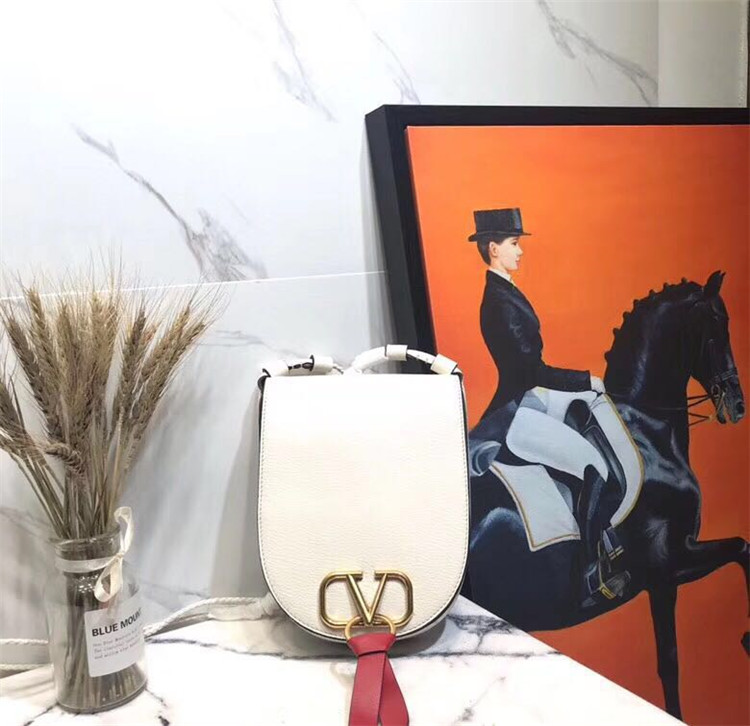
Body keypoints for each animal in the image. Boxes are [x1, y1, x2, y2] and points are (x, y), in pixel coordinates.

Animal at [462, 271, 747, 720]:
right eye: (717, 328)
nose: (736, 406)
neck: (647, 429)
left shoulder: (668, 568)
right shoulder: (668, 565)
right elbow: (738, 552)